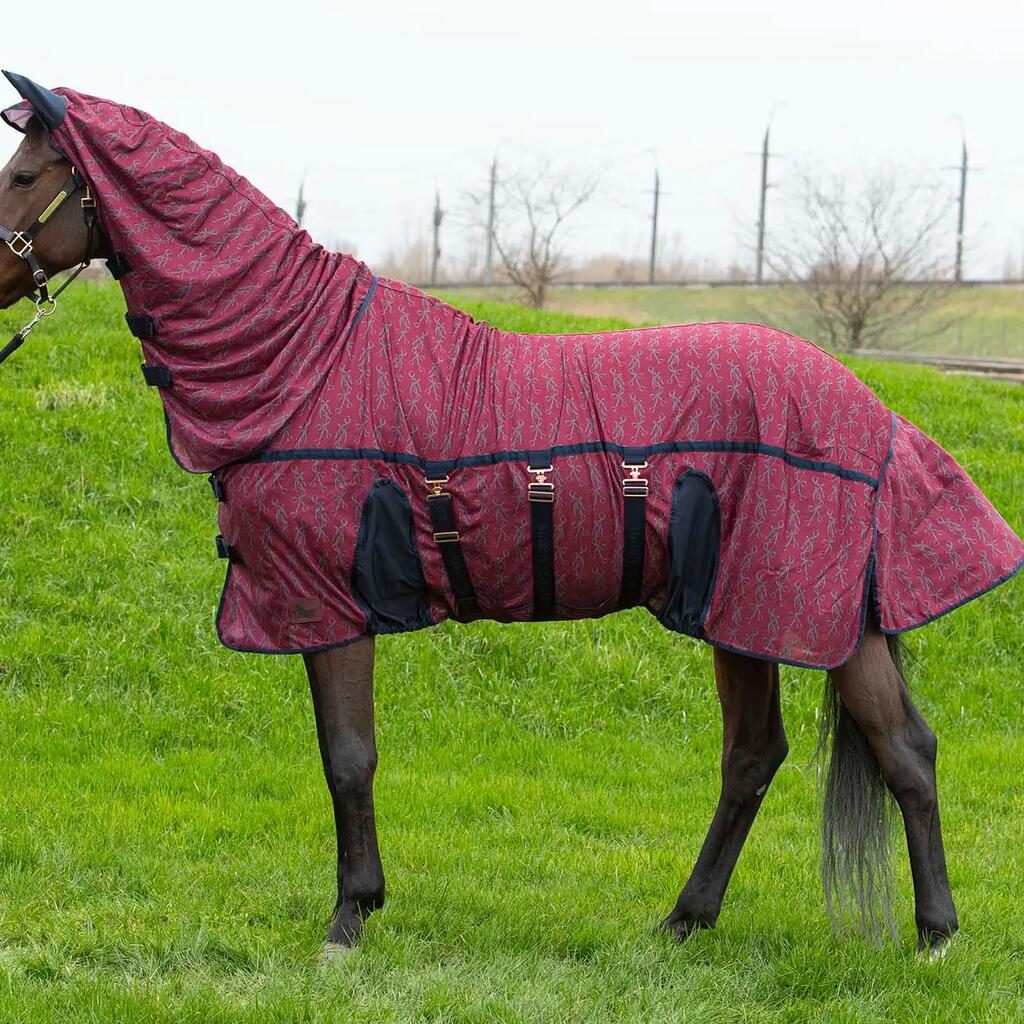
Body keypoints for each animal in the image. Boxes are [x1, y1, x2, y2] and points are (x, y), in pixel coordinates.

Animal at [1, 72, 1020, 958]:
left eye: (22, 176)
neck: (305, 360)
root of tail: (873, 414)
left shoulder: (331, 604)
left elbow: (347, 757)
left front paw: (349, 920)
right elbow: (348, 755)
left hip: (807, 615)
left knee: (903, 751)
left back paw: (933, 937)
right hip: (745, 617)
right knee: (754, 757)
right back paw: (682, 924)